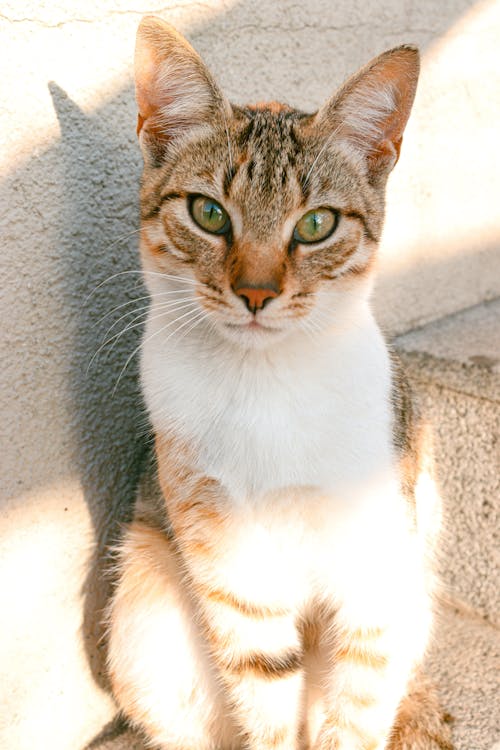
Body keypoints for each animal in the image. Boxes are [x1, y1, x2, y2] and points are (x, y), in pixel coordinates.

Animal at [104, 16, 454, 750]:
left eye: (317, 224)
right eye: (209, 213)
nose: (257, 293)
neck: (263, 382)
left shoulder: (375, 564)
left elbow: (357, 706)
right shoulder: (230, 563)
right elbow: (264, 692)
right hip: (143, 607)